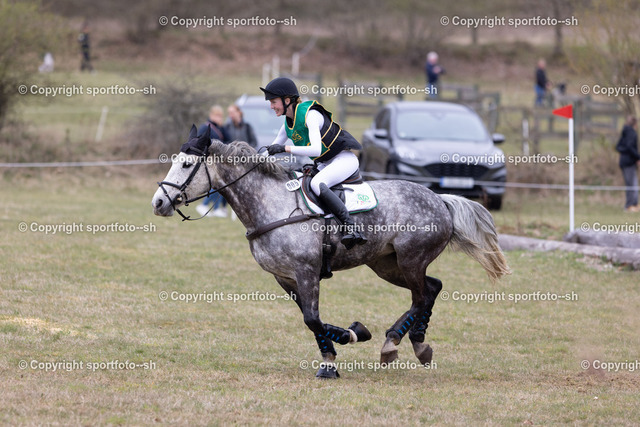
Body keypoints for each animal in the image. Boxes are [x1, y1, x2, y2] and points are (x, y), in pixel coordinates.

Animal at [151, 126, 511, 378]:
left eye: (186, 164)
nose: (158, 203)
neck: (269, 204)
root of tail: (440, 199)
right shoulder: (285, 278)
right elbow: (313, 319)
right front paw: (353, 334)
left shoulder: (307, 270)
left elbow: (312, 318)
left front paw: (329, 362)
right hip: (386, 264)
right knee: (432, 288)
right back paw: (414, 343)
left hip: (411, 259)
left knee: (422, 295)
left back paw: (395, 343)